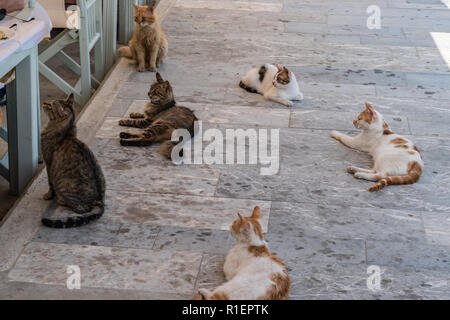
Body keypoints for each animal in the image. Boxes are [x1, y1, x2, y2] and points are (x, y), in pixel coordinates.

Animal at [40, 94, 105, 229]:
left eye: (51, 105)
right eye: (50, 101)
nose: (44, 102)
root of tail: (99, 200)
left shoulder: (48, 162)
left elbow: (50, 183)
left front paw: (48, 195)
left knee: (80, 209)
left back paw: (61, 200)